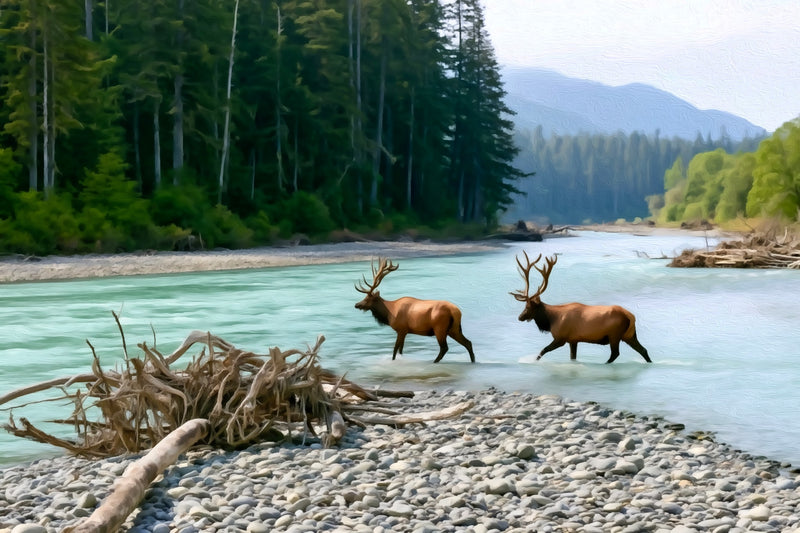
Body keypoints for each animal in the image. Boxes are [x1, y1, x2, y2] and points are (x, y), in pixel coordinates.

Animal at [511, 251, 652, 364]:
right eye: (525, 306)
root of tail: (631, 317)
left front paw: (532, 361)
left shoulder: (561, 338)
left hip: (614, 335)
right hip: (629, 335)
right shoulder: (573, 340)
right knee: (643, 350)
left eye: (528, 307)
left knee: (615, 354)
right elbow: (572, 357)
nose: (520, 317)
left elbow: (543, 350)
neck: (551, 320)